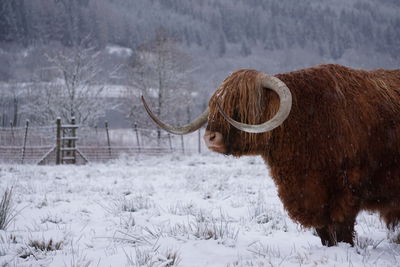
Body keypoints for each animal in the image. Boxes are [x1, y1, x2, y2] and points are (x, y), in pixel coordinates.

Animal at [142, 63, 400, 246]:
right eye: (215, 104)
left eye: (242, 103)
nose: (210, 138)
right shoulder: (313, 198)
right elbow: (325, 234)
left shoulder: (346, 194)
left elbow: (341, 231)